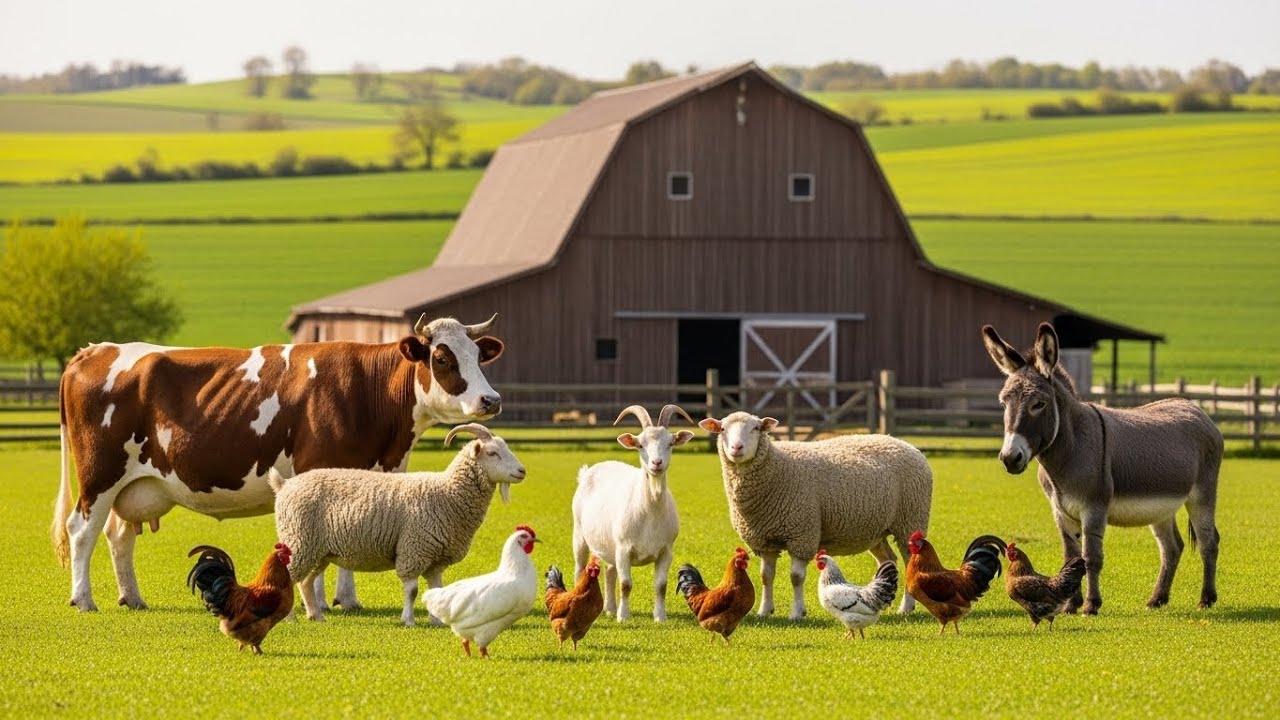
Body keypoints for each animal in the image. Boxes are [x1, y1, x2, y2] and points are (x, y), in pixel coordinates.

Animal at [52, 314, 504, 613]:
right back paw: (84, 599)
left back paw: (132, 598)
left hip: (133, 485)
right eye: (442, 359)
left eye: (478, 357)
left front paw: (347, 600)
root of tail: (95, 350)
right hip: (99, 475)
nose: (491, 399)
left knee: (118, 535)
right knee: (82, 531)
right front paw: (316, 601)